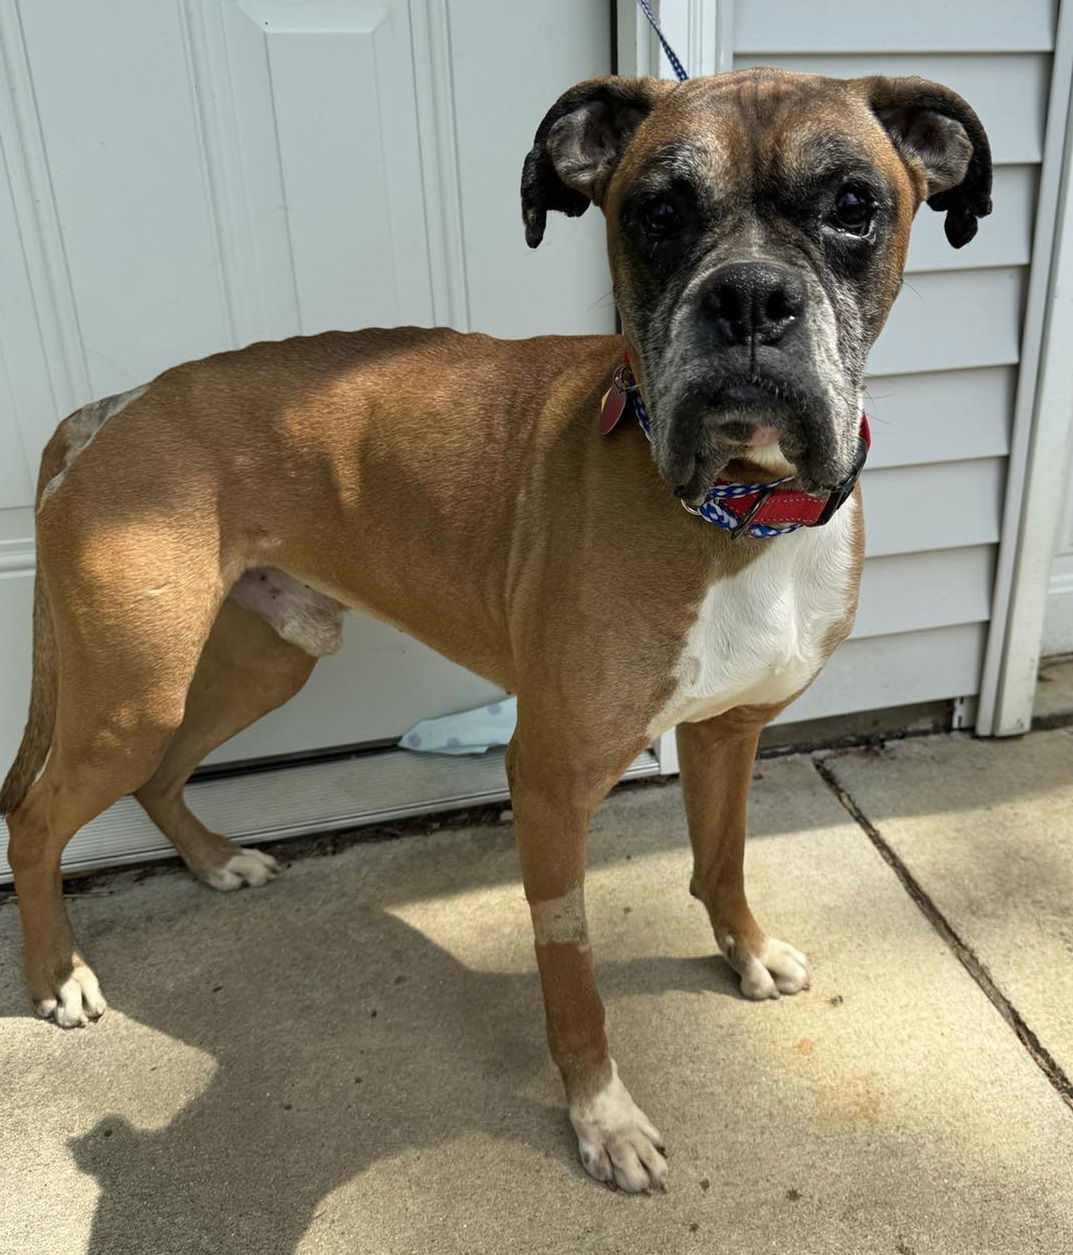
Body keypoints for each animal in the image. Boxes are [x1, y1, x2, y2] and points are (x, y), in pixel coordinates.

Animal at [0, 71, 988, 1194]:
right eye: (656, 212)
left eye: (853, 206)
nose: (747, 299)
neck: (737, 506)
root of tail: (109, 409)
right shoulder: (549, 782)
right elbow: (571, 971)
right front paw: (602, 1116)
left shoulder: (726, 733)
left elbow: (724, 856)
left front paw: (742, 951)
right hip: (131, 697)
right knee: (35, 817)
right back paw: (58, 976)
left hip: (259, 662)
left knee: (163, 774)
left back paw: (215, 862)